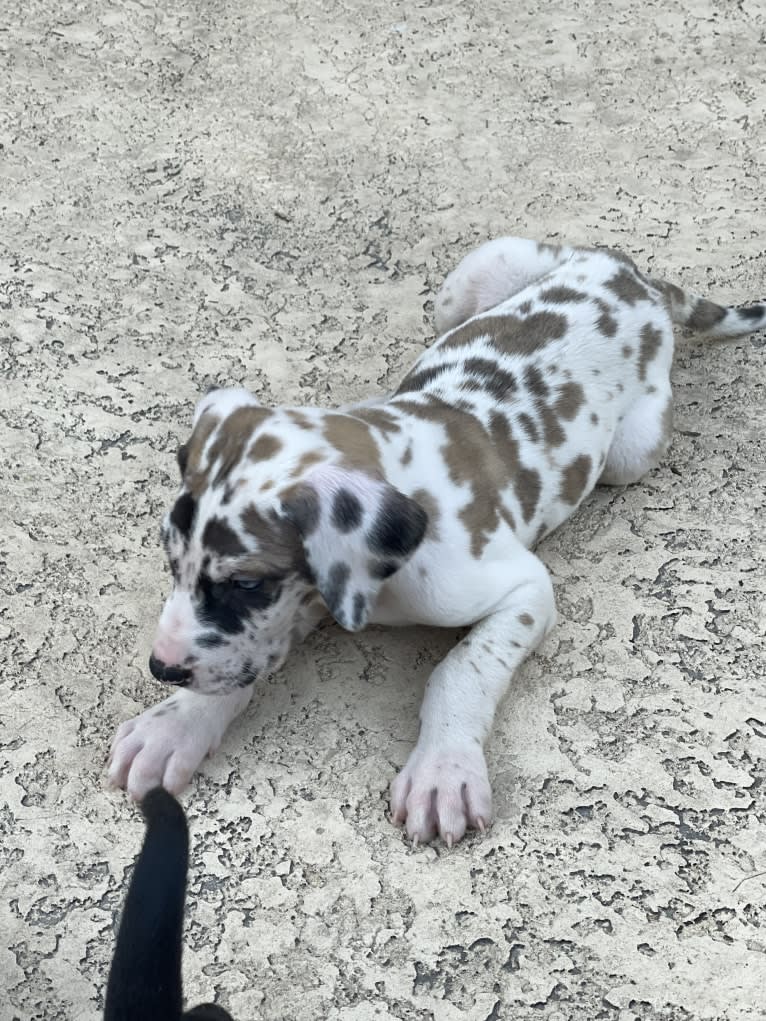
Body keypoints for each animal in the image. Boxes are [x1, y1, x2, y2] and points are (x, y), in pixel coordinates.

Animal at [108, 236, 766, 845]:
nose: (161, 669)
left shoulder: (525, 590)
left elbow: (462, 670)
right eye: (171, 562)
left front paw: (443, 772)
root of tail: (629, 274)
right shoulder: (310, 598)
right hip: (465, 287)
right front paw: (176, 724)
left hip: (630, 453)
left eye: (246, 582)